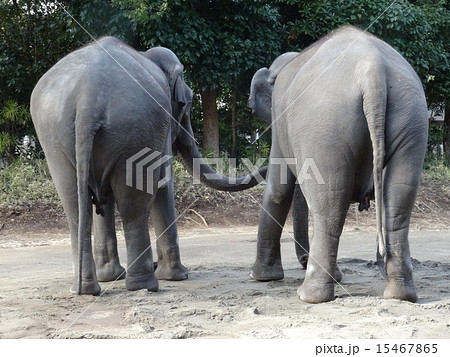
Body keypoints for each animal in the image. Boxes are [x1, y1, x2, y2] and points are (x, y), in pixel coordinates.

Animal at [31, 37, 266, 296]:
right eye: (186, 103)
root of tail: (88, 97)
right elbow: (163, 182)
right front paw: (178, 276)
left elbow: (103, 197)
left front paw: (111, 277)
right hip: (132, 129)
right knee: (132, 206)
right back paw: (145, 285)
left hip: (58, 135)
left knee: (75, 204)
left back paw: (87, 289)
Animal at [248, 25, 428, 304]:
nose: (302, 259)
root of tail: (372, 69)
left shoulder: (279, 117)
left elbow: (278, 190)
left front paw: (261, 277)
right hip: (412, 117)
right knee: (399, 198)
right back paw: (400, 294)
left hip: (324, 124)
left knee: (328, 203)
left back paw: (310, 295)